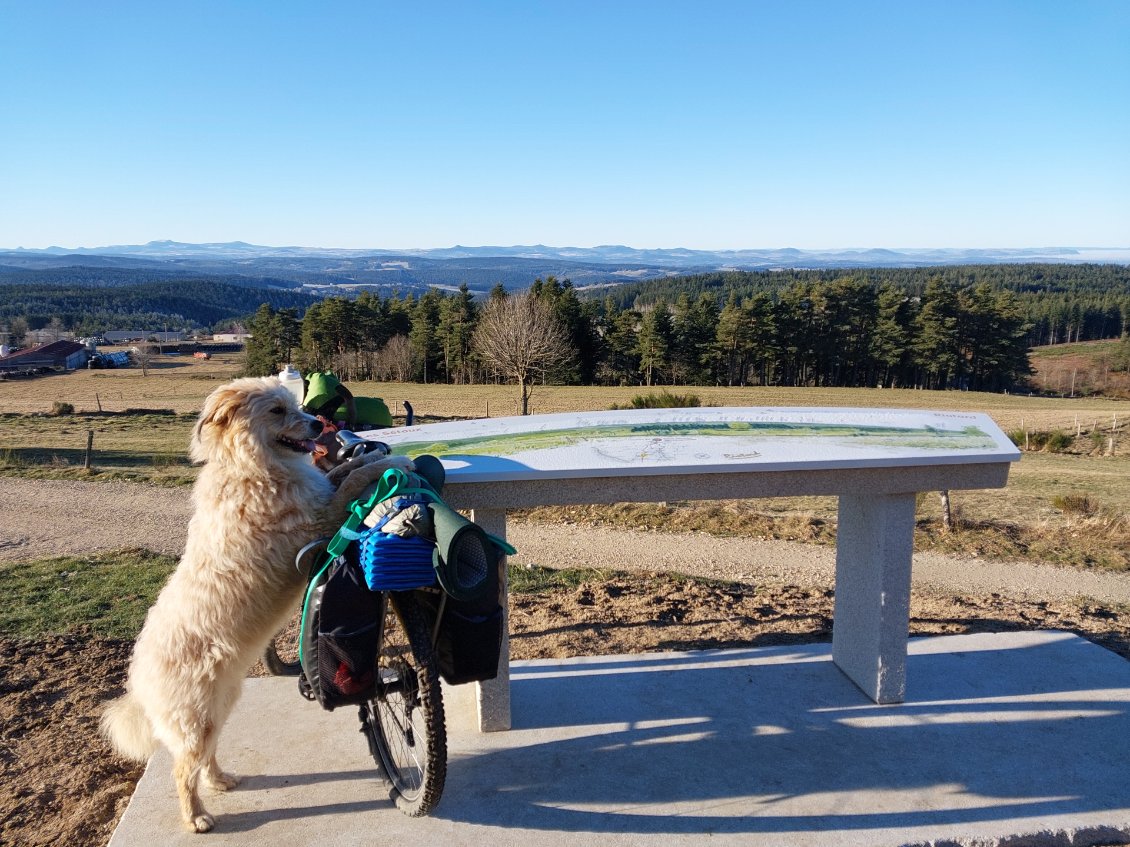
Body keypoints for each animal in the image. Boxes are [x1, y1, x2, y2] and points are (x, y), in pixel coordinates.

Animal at [101, 377, 411, 835]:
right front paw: (389, 464)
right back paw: (197, 818)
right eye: (278, 411)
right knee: (182, 770)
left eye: (295, 404)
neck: (250, 466)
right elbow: (351, 484)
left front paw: (372, 455)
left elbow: (341, 474)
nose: (318, 426)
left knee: (206, 758)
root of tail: (138, 681)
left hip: (219, 709)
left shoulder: (320, 493)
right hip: (195, 722)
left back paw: (220, 780)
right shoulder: (316, 523)